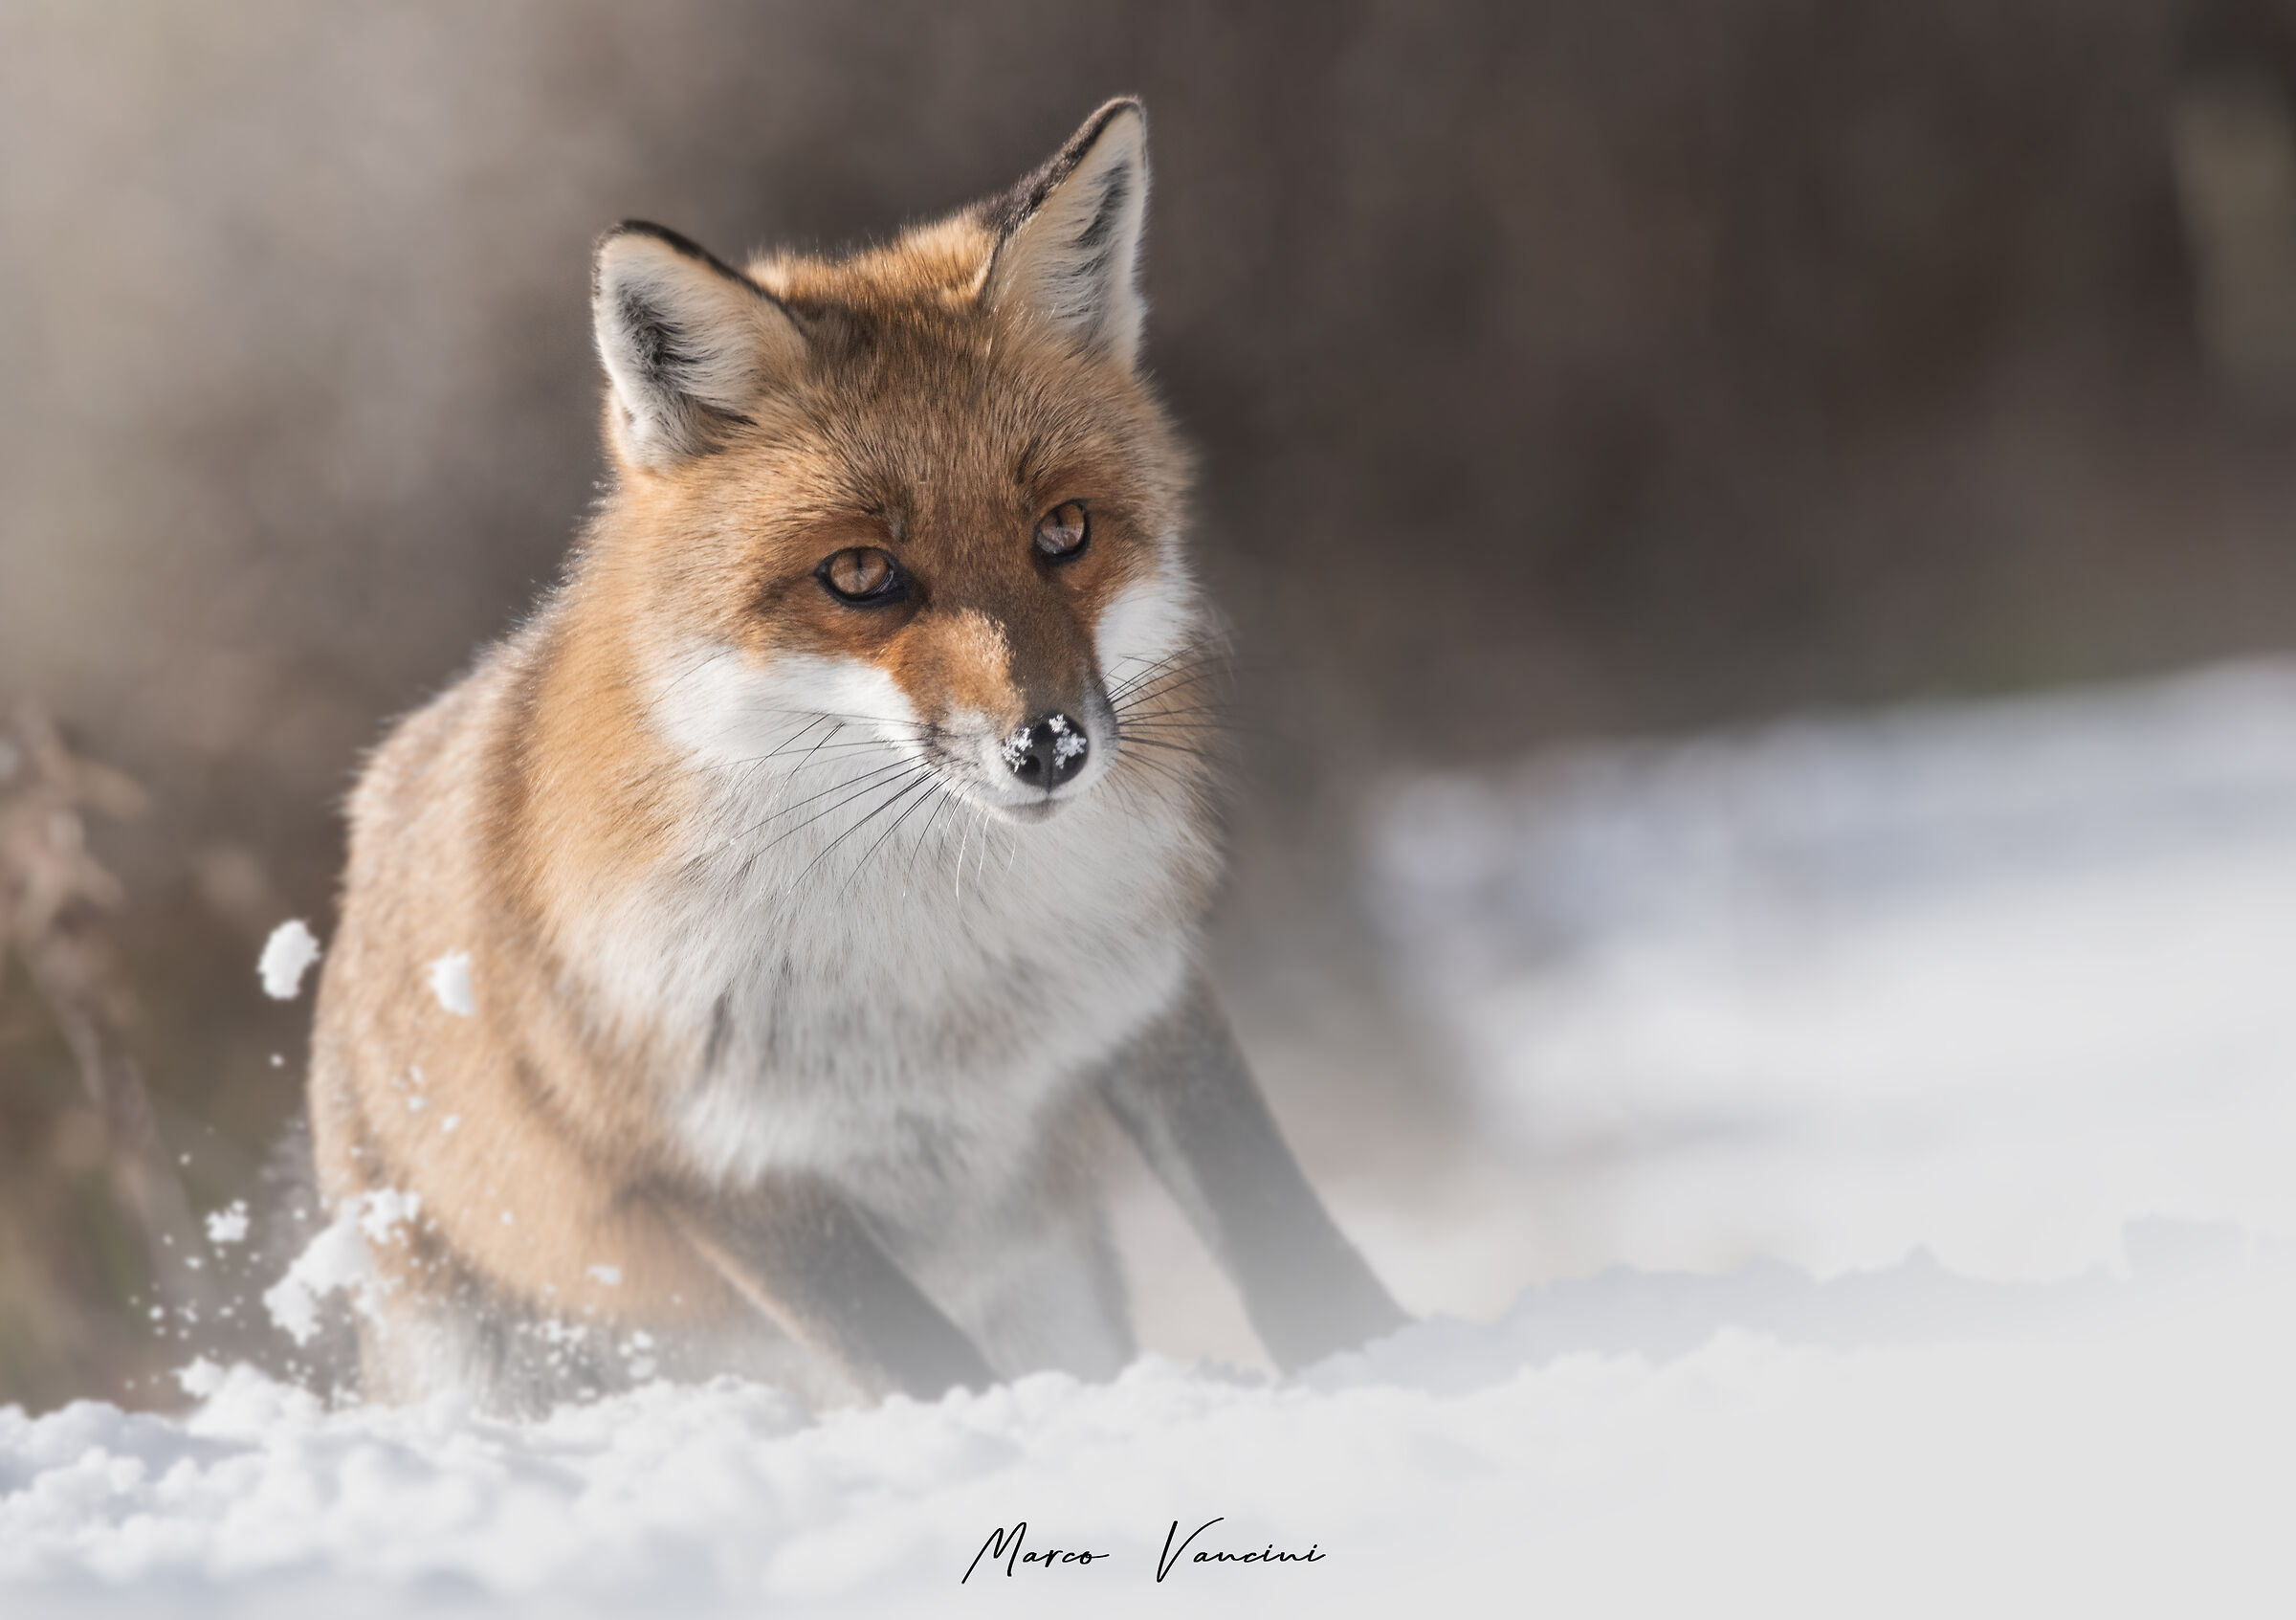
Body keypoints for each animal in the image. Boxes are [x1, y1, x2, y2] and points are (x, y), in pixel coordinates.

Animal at [304, 98, 1407, 1410]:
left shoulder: (1146, 1000)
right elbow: (922, 1364)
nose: (1050, 744)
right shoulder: (715, 1168)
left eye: (1064, 530)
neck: (937, 969)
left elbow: (1283, 1238)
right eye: (862, 573)